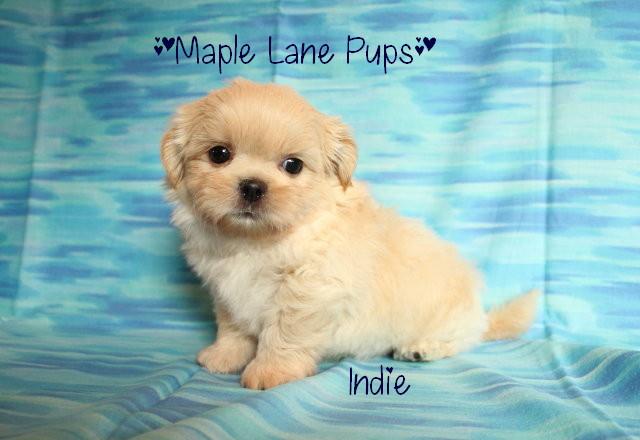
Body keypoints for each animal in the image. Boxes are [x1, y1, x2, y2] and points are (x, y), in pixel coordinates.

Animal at [160, 78, 539, 390]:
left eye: (293, 165)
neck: (257, 240)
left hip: (448, 319)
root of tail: (480, 315)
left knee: (461, 340)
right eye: (219, 154)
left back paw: (421, 348)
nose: (253, 187)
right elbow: (233, 327)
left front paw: (271, 371)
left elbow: (283, 334)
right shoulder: (227, 290)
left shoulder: (308, 292)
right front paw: (224, 355)